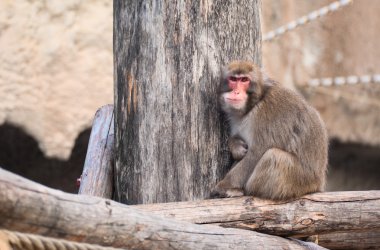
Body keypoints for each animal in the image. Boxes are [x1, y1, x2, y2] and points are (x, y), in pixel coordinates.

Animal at [211, 61, 330, 201]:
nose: (236, 92)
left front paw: (223, 186)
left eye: (244, 80)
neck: (255, 104)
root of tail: (318, 184)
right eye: (233, 79)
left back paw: (241, 191)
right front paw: (236, 146)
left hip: (299, 181)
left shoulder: (269, 113)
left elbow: (257, 153)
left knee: (273, 156)